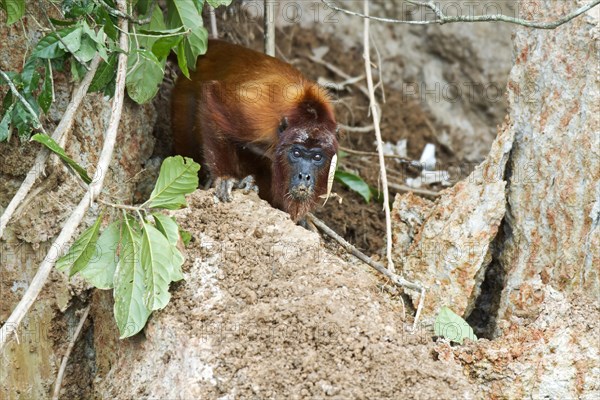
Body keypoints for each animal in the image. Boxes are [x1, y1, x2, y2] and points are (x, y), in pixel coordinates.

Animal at [171, 39, 338, 222]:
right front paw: (225, 178)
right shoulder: (257, 116)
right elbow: (212, 97)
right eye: (296, 153)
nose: (305, 176)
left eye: (317, 157)